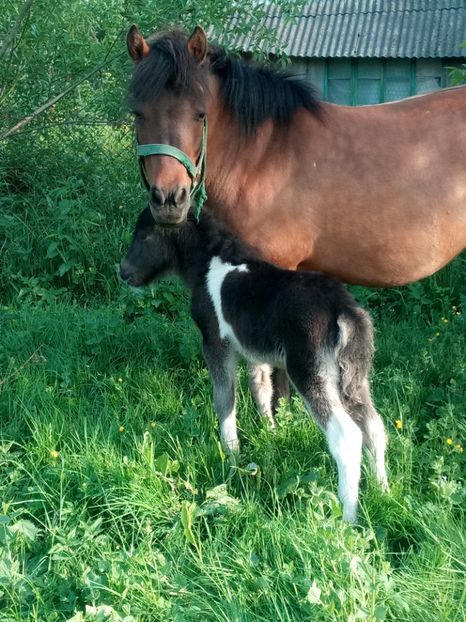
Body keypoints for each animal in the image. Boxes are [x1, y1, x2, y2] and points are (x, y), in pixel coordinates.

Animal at [120, 208, 390, 520]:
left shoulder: (215, 341)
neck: (207, 263)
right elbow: (261, 388)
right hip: (356, 377)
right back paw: (384, 491)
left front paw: (231, 454)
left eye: (143, 235)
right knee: (374, 426)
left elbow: (225, 397)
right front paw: (270, 434)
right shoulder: (255, 353)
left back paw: (348, 517)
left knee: (347, 436)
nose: (122, 272)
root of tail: (343, 312)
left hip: (310, 373)